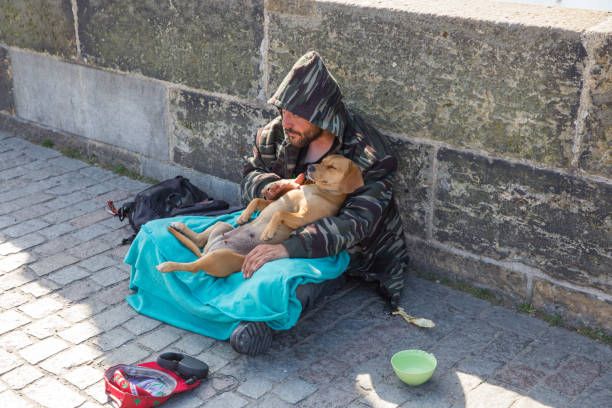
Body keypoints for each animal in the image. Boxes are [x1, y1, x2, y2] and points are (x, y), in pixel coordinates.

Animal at [157, 155, 364, 278]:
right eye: (322, 161)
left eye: (332, 167)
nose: (310, 167)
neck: (318, 190)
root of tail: (207, 252)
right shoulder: (278, 199)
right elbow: (257, 200)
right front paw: (244, 217)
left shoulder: (303, 217)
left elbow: (280, 213)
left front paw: (268, 232)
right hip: (221, 226)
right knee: (199, 240)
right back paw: (179, 226)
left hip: (220, 256)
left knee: (192, 267)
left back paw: (167, 266)